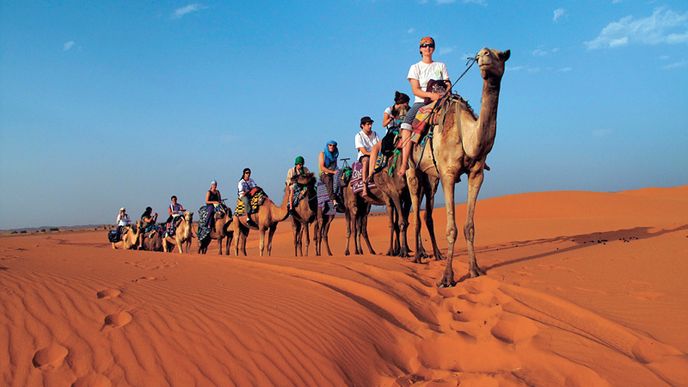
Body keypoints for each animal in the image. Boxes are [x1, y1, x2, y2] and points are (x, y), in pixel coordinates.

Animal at [404, 47, 510, 286]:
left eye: (501, 55)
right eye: (481, 53)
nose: (485, 55)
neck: (466, 135)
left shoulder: (476, 174)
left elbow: (469, 227)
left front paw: (474, 270)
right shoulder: (448, 174)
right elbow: (451, 229)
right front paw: (447, 277)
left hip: (430, 177)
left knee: (425, 213)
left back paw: (432, 254)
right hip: (412, 171)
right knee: (415, 213)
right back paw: (416, 257)